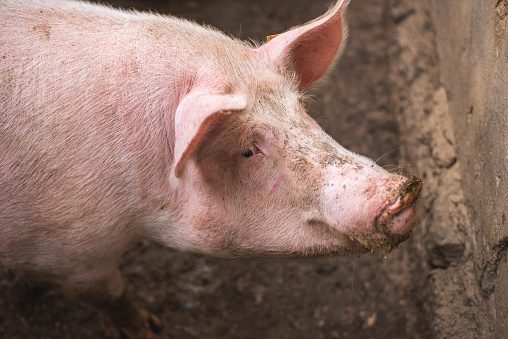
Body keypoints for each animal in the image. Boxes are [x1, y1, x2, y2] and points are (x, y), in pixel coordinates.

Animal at [0, 0, 420, 338]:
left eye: (302, 112)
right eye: (248, 150)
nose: (405, 189)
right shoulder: (68, 253)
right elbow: (110, 294)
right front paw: (149, 329)